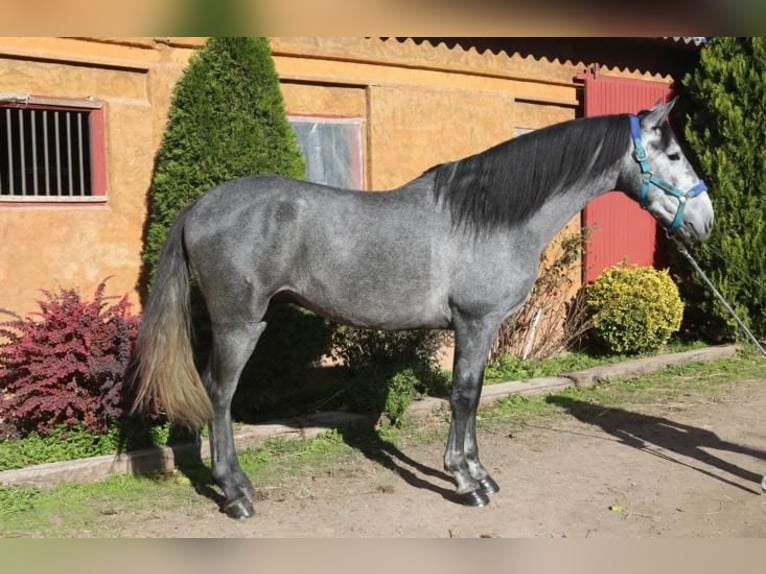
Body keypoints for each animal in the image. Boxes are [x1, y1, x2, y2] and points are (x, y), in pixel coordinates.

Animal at [132, 100, 712, 520]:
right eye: (674, 157)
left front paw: (479, 473)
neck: (490, 217)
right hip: (239, 324)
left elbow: (470, 398)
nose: (705, 220)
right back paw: (236, 493)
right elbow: (465, 395)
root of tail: (199, 207)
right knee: (219, 394)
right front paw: (466, 481)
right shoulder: (475, 323)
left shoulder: (477, 328)